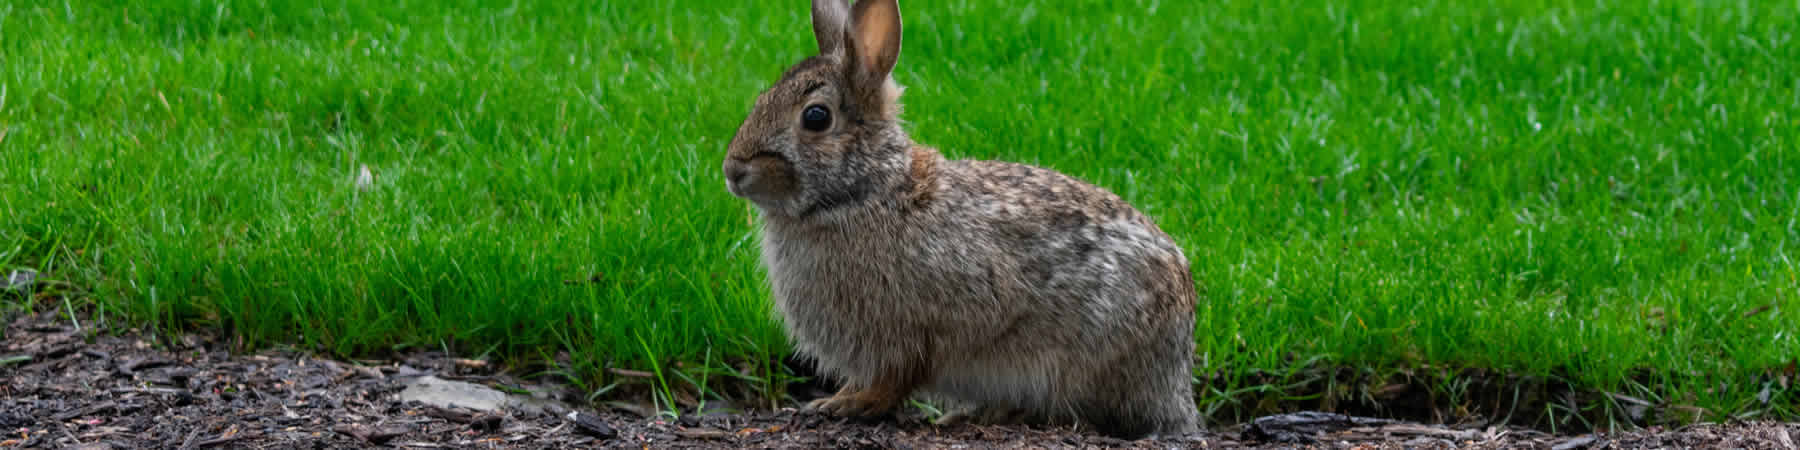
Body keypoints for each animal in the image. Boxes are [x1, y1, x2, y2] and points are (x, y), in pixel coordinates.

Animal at [716, 0, 1195, 439]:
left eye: (815, 117)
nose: (733, 170)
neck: (866, 192)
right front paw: (840, 398)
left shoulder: (920, 330)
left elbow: (897, 378)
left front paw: (849, 404)